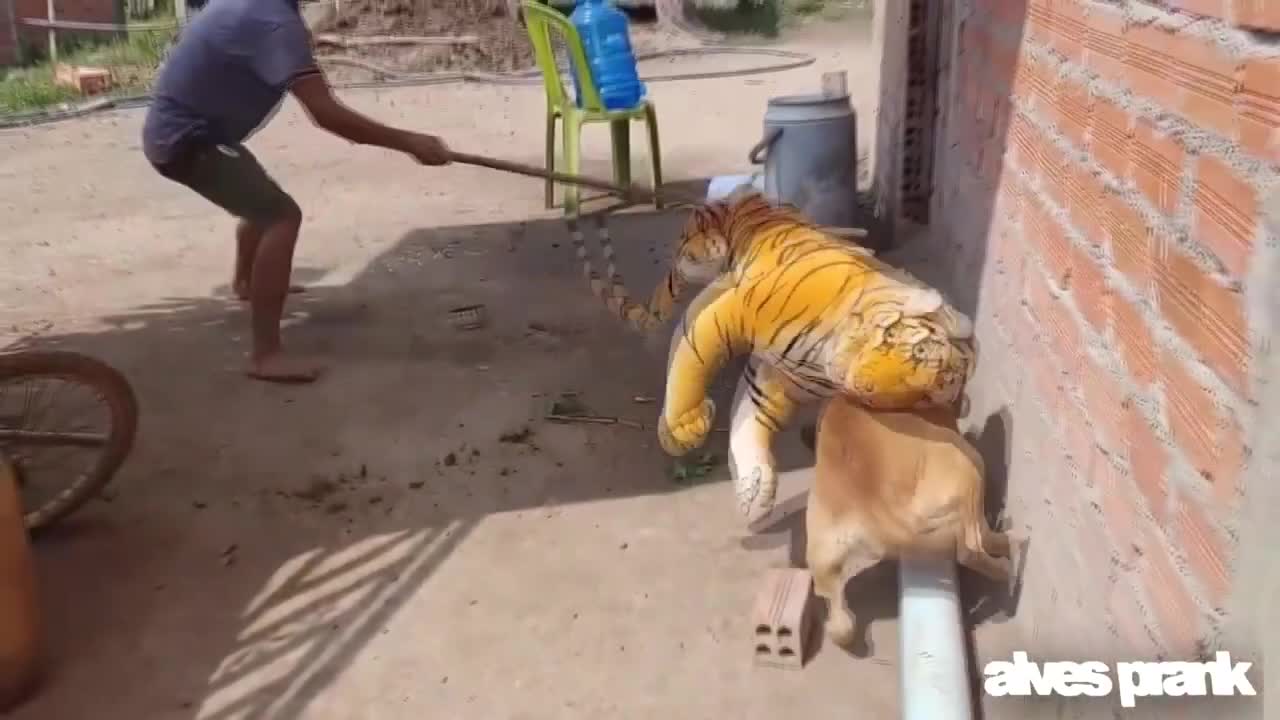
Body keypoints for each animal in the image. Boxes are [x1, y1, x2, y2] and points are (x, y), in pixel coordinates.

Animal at [808, 394, 1008, 640]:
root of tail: (879, 506)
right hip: (967, 459)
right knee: (974, 546)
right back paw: (1008, 555)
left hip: (822, 556)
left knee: (839, 622)